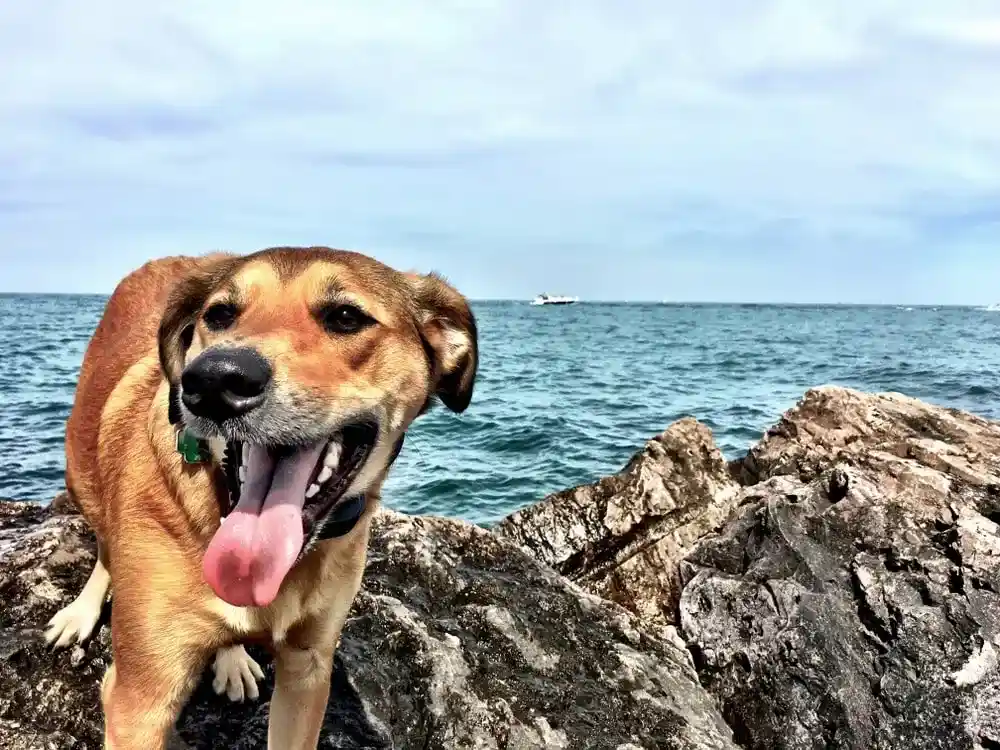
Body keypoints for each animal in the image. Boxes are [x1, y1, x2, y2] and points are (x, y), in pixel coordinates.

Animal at [46, 245, 480, 748]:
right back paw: (82, 609)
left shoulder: (308, 669)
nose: (214, 380)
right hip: (80, 471)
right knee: (103, 541)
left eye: (346, 317)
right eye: (219, 314)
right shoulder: (139, 700)